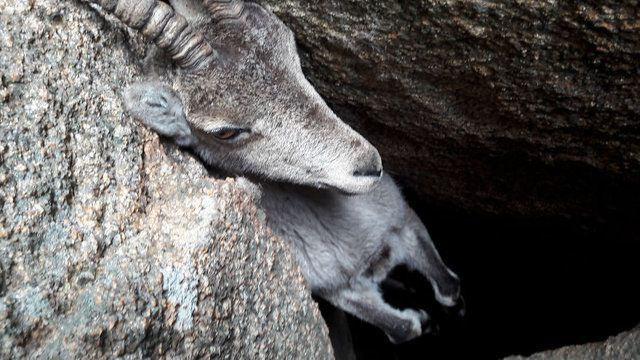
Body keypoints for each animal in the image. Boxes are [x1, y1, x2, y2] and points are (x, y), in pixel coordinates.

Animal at [95, 0, 462, 344]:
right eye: (225, 132)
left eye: (292, 50)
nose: (368, 166)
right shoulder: (337, 289)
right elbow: (404, 327)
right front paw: (421, 319)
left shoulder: (402, 219)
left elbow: (448, 287)